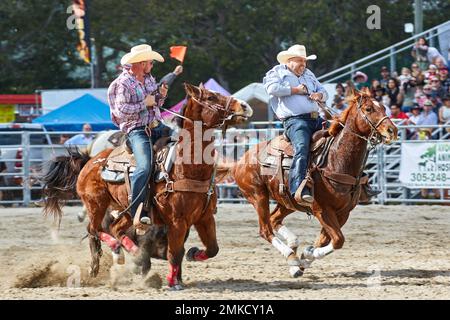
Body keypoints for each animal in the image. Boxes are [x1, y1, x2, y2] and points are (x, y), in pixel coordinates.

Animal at [41, 83, 253, 290]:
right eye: (210, 97)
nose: (244, 106)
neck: (186, 168)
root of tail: (90, 160)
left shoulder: (205, 217)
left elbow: (212, 248)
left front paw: (193, 254)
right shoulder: (177, 221)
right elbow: (175, 252)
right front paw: (173, 282)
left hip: (128, 210)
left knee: (114, 229)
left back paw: (121, 255)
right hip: (96, 205)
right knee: (93, 229)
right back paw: (116, 254)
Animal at [218, 88, 398, 278]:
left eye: (384, 107)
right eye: (369, 109)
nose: (392, 130)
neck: (335, 159)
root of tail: (239, 161)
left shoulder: (343, 213)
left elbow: (325, 240)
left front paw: (305, 258)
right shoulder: (323, 210)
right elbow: (338, 240)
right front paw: (305, 256)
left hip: (287, 201)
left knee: (274, 219)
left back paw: (293, 251)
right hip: (258, 197)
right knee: (265, 229)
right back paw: (290, 255)